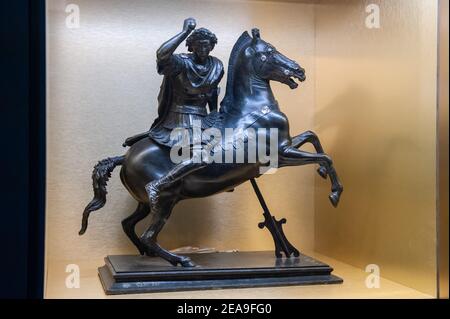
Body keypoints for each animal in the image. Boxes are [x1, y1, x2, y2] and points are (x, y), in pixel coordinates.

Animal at [79, 28, 342, 268]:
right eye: (269, 51)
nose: (299, 70)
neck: (253, 110)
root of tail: (124, 157)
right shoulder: (281, 154)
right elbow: (325, 157)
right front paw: (335, 194)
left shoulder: (286, 149)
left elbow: (313, 137)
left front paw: (322, 176)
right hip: (165, 200)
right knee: (148, 234)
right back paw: (181, 260)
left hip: (144, 203)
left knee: (129, 225)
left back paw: (147, 256)